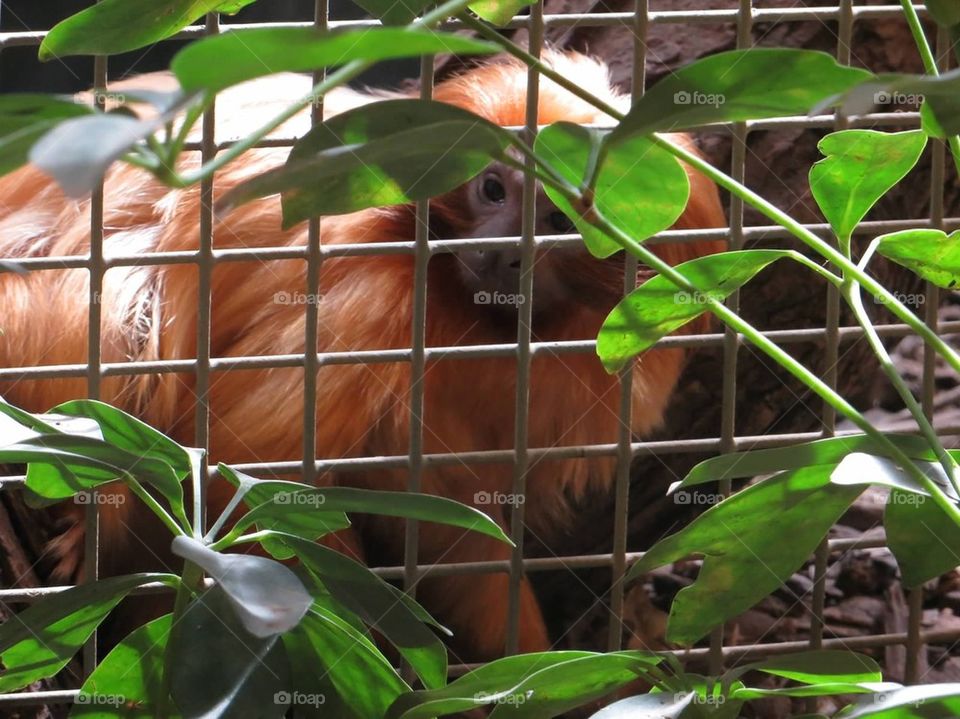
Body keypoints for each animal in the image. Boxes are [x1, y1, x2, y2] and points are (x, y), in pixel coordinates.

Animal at [0, 51, 725, 660]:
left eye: (556, 221)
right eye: (493, 190)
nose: (503, 251)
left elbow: (455, 530)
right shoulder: (370, 296)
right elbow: (250, 474)